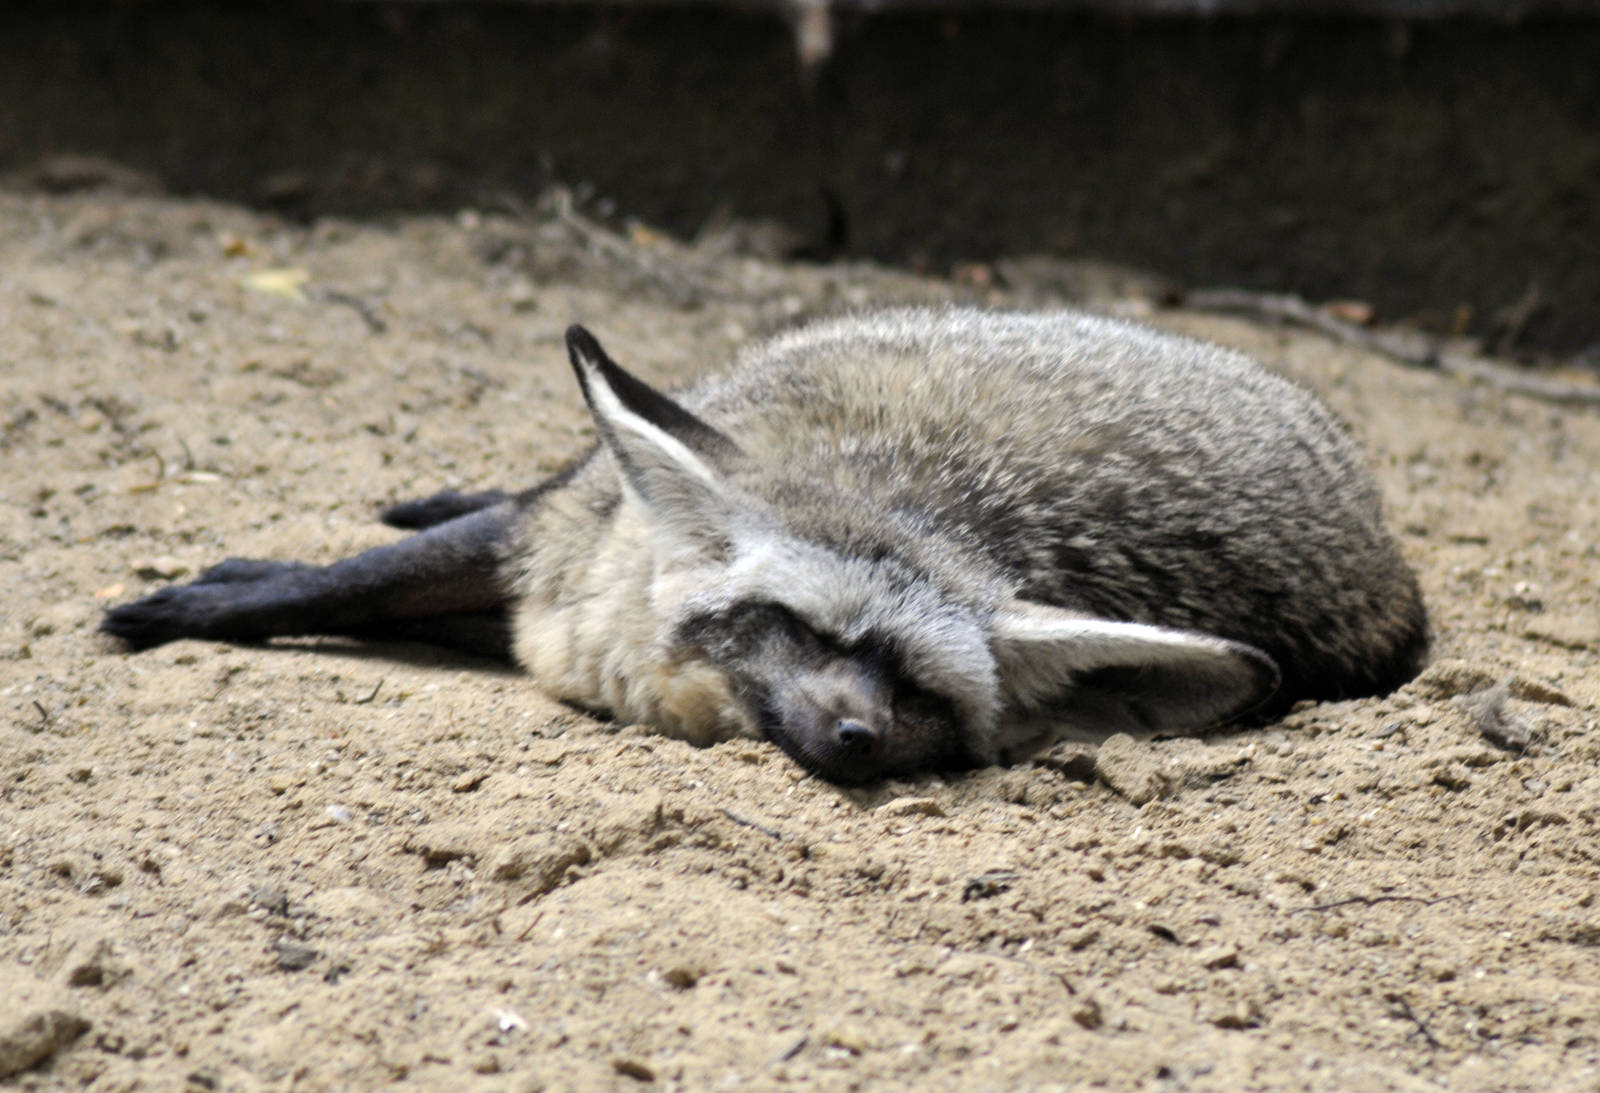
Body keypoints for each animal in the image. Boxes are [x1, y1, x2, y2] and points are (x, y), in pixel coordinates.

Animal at [102, 307, 1429, 783]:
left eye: (921, 691)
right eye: (801, 627)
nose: (854, 737)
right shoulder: (554, 546)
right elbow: (337, 582)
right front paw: (200, 604)